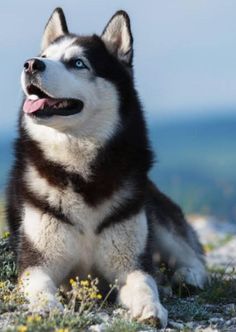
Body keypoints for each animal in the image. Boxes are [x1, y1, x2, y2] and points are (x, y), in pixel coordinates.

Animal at [6, 7, 207, 326]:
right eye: (45, 55)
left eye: (78, 63)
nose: (31, 64)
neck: (82, 174)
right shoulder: (36, 263)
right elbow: (40, 286)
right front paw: (48, 307)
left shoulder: (130, 264)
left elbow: (145, 283)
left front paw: (151, 307)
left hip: (154, 216)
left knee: (192, 254)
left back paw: (187, 277)